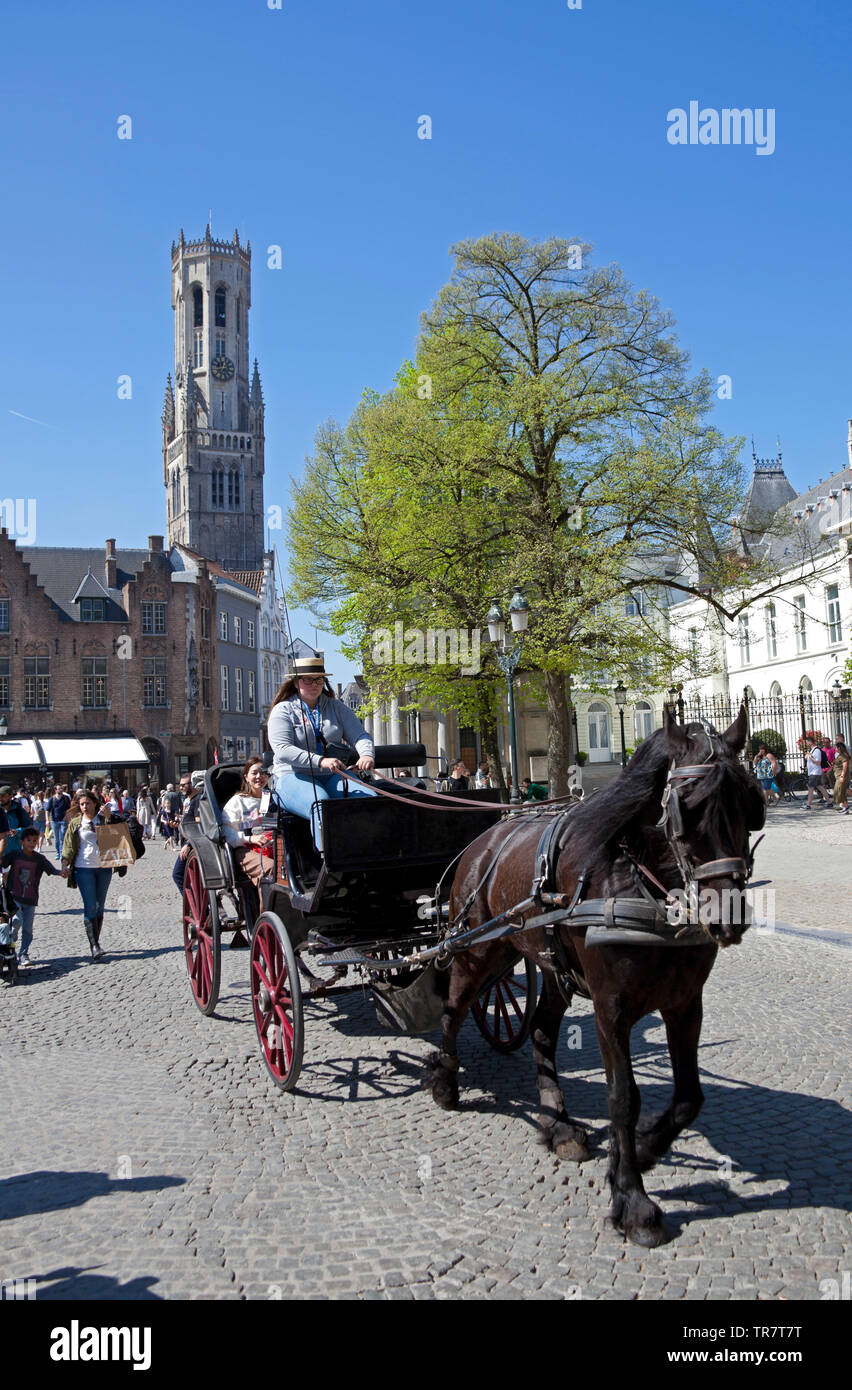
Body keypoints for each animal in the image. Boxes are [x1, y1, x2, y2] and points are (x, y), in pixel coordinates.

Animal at [422, 711, 767, 1245]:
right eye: (687, 808)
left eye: (752, 803)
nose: (727, 918)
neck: (642, 888)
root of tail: (486, 839)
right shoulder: (611, 1009)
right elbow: (622, 1097)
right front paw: (631, 1199)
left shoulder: (685, 1003)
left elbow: (689, 1096)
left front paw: (643, 1148)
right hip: (477, 951)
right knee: (454, 1010)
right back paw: (445, 1081)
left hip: (548, 968)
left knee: (541, 1032)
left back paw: (557, 1123)